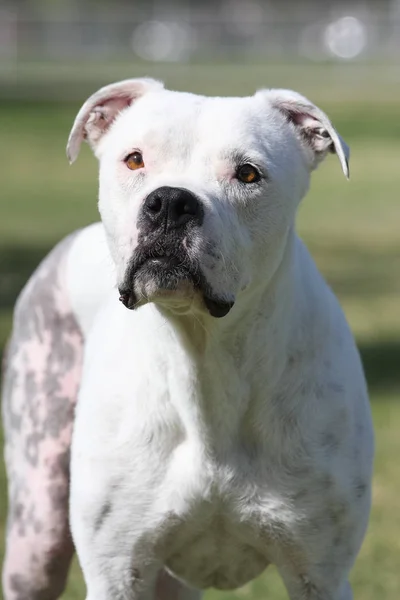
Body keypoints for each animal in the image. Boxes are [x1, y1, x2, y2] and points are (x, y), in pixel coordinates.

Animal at [1, 79, 374, 600]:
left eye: (248, 173)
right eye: (134, 160)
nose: (171, 202)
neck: (206, 358)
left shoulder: (319, 574)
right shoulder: (117, 572)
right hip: (36, 537)